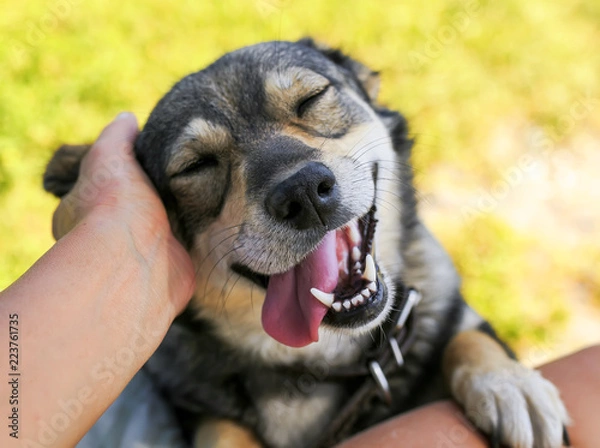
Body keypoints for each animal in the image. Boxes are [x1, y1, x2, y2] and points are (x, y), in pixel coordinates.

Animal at [44, 39, 568, 448]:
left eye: (312, 99)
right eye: (196, 166)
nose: (302, 193)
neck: (328, 360)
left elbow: (467, 337)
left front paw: (508, 384)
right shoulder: (194, 404)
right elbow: (221, 428)